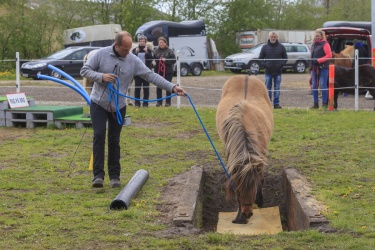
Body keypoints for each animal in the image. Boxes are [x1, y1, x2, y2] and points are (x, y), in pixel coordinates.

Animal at [216, 74, 274, 225]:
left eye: (253, 189)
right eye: (239, 191)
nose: (247, 213)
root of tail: (246, 75)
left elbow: (261, 178)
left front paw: (260, 200)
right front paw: (238, 217)